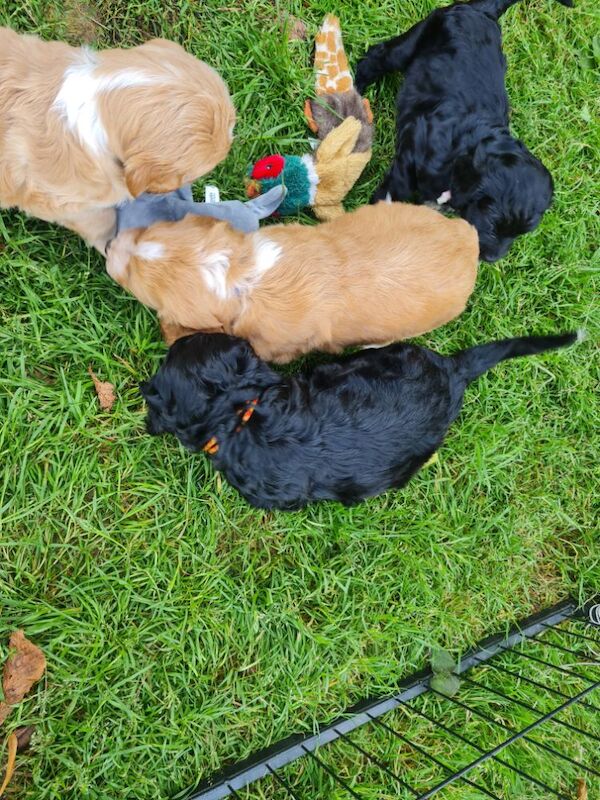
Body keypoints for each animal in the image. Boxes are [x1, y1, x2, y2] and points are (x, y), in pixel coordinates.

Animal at [356, 0, 572, 260]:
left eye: (521, 233)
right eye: (493, 221)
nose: (491, 259)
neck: (462, 154)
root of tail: (482, 11)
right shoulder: (410, 154)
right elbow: (393, 191)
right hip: (421, 34)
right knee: (379, 55)